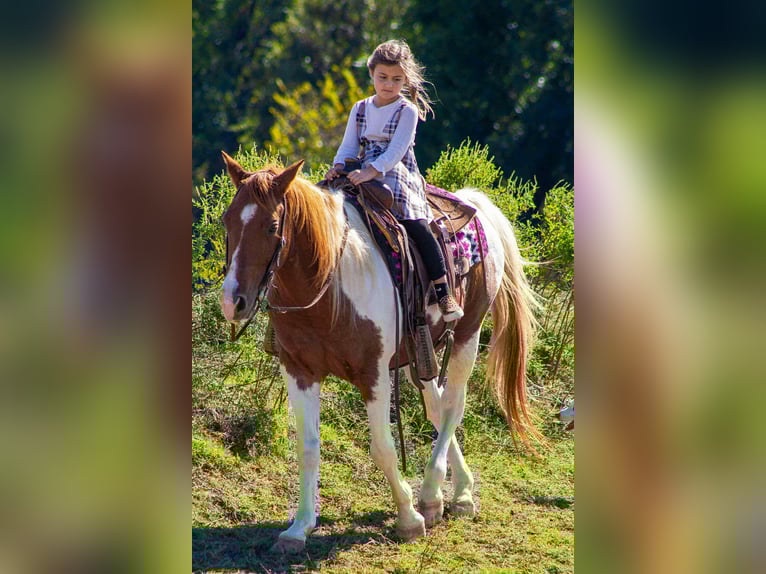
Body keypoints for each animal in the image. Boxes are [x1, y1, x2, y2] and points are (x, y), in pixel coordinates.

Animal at [219, 152, 538, 553]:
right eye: (227, 219)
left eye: (272, 225)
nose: (233, 302)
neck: (330, 286)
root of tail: (473, 204)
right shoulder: (299, 371)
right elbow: (307, 448)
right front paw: (299, 527)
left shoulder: (373, 373)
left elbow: (383, 448)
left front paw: (408, 518)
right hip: (419, 353)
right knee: (437, 407)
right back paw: (454, 493)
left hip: (467, 334)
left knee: (453, 406)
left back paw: (435, 494)